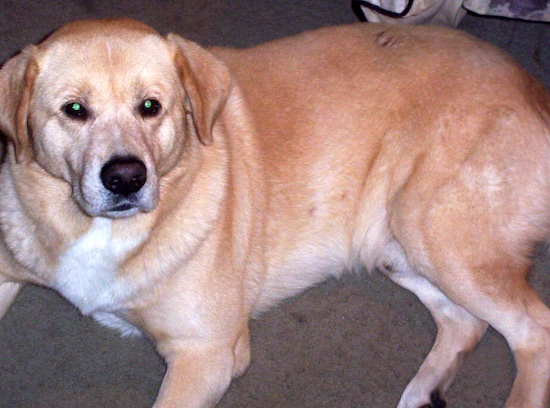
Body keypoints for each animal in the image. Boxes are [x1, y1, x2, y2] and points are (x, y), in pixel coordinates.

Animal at [0, 17, 548, 406]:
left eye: (150, 106)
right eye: (74, 110)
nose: (126, 178)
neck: (93, 227)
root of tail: (533, 86)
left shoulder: (207, 352)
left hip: (433, 232)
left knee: (533, 328)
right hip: (392, 246)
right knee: (465, 323)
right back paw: (422, 391)